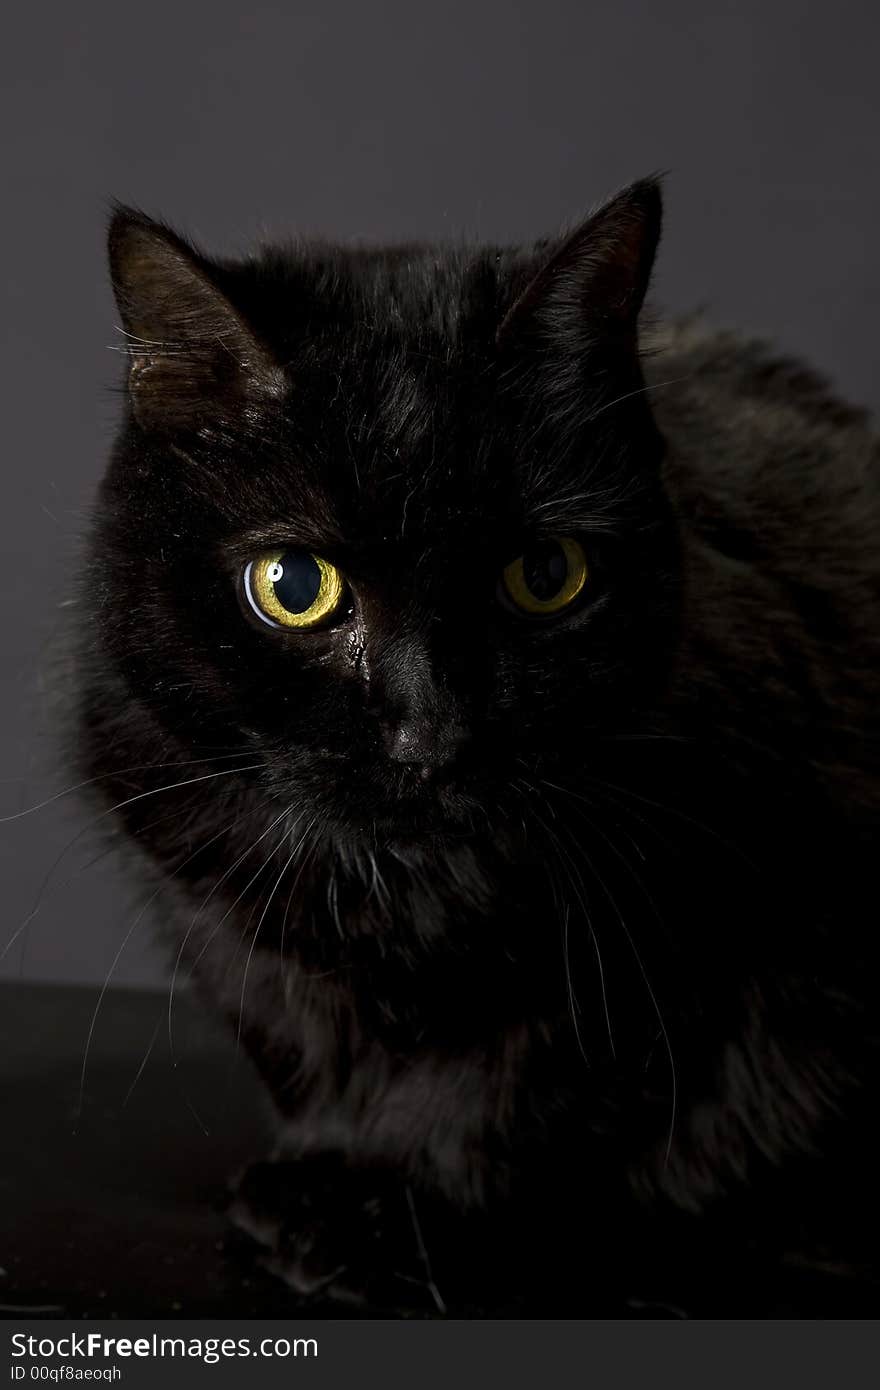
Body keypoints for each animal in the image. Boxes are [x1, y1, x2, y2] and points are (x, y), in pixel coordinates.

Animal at [77, 176, 878, 1312]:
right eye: (293, 585)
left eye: (546, 575)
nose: (432, 727)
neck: (401, 893)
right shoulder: (200, 867)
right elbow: (300, 1038)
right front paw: (321, 1170)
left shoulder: (674, 917)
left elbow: (518, 1082)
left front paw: (380, 1212)